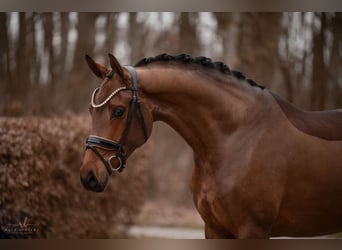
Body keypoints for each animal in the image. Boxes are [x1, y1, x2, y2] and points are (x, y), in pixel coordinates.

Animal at [80, 53, 342, 238]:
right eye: (91, 110)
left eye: (118, 111)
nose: (88, 176)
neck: (234, 138)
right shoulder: (214, 228)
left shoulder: (253, 230)